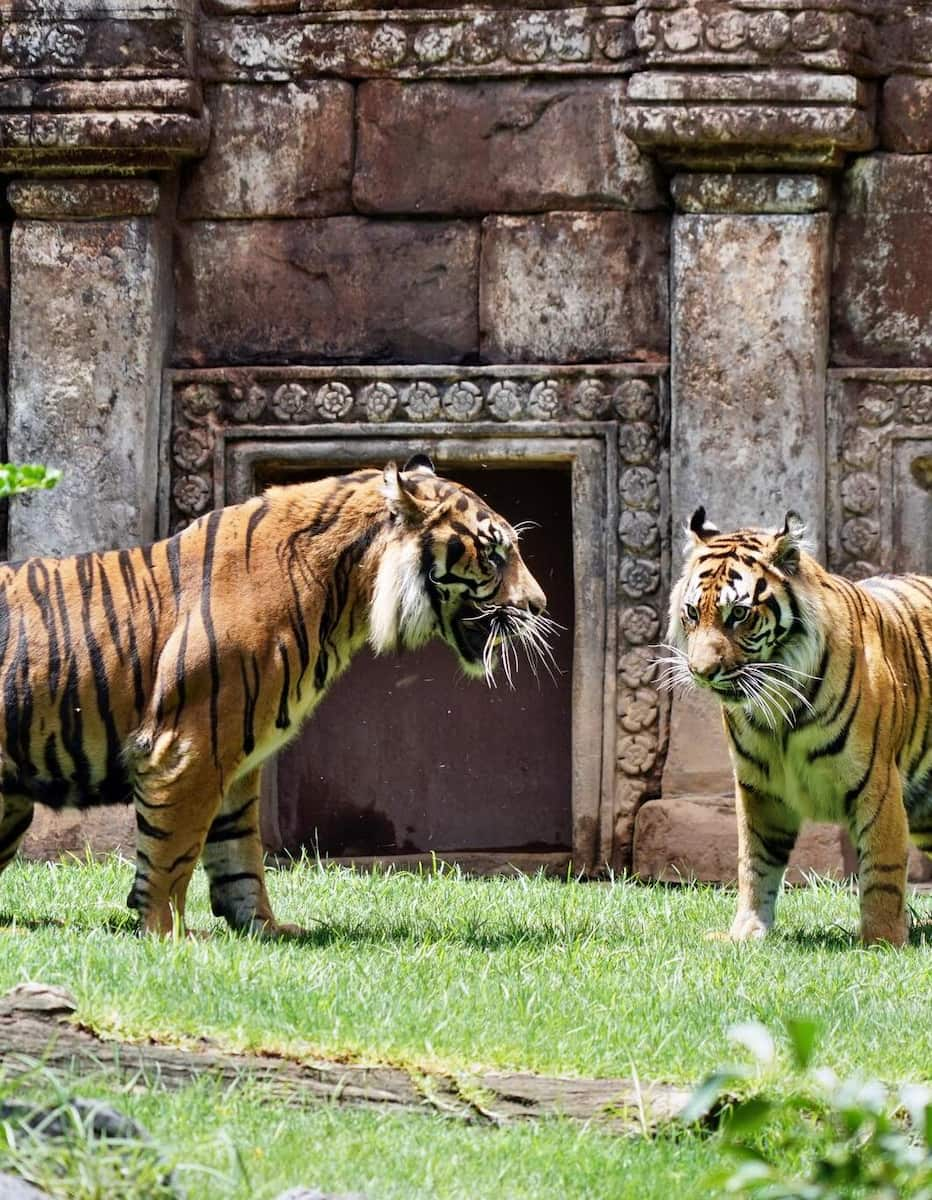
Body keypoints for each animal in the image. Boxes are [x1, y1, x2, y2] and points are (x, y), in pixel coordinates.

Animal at [0, 458, 549, 936]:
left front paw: (263, 928)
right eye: (494, 554)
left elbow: (239, 854)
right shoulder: (189, 747)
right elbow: (173, 852)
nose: (538, 605)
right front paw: (166, 934)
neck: (348, 594)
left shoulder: (233, 760)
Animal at [657, 506, 930, 945]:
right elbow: (755, 864)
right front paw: (746, 932)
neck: (777, 705)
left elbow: (882, 869)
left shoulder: (877, 783)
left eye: (739, 613)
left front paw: (883, 942)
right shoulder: (759, 789)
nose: (701, 672)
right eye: (693, 612)